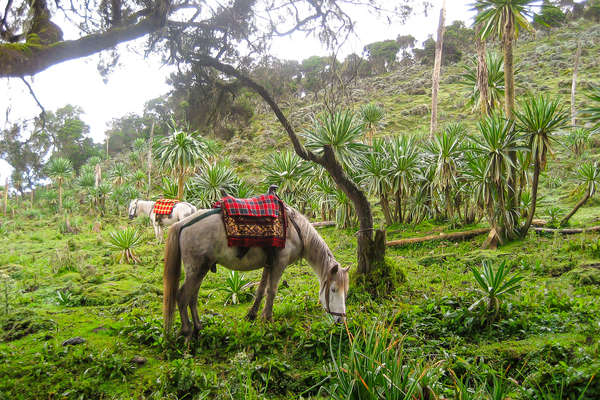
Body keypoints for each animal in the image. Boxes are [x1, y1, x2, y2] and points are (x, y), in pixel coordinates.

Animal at [163, 205, 352, 340]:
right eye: (333, 289)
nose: (341, 321)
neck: (295, 229)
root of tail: (182, 224)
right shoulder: (279, 263)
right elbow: (272, 291)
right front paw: (267, 319)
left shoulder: (269, 263)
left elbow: (261, 290)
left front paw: (252, 315)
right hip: (196, 270)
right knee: (182, 296)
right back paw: (187, 331)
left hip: (201, 270)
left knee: (192, 298)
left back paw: (198, 328)